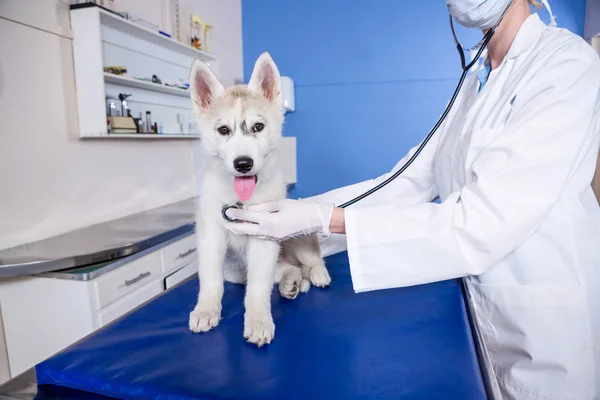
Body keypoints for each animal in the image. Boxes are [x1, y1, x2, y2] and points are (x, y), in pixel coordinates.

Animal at [188, 52, 330, 346]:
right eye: (223, 130)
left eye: (258, 127)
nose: (243, 164)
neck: (241, 201)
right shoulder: (211, 238)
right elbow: (211, 281)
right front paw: (206, 309)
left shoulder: (265, 239)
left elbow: (258, 289)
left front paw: (258, 321)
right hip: (237, 270)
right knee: (288, 268)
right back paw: (292, 282)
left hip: (296, 233)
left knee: (310, 259)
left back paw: (317, 274)